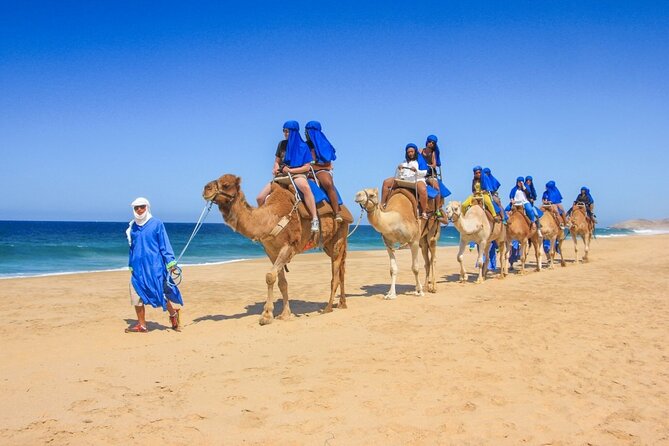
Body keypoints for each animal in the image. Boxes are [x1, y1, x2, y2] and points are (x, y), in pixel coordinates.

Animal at [203, 174, 351, 325]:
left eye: (226, 184)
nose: (206, 189)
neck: (270, 219)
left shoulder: (288, 247)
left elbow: (269, 276)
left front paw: (267, 315)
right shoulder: (271, 251)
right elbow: (281, 282)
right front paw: (285, 314)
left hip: (339, 236)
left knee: (335, 274)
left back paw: (328, 308)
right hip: (328, 244)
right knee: (342, 270)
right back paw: (342, 304)